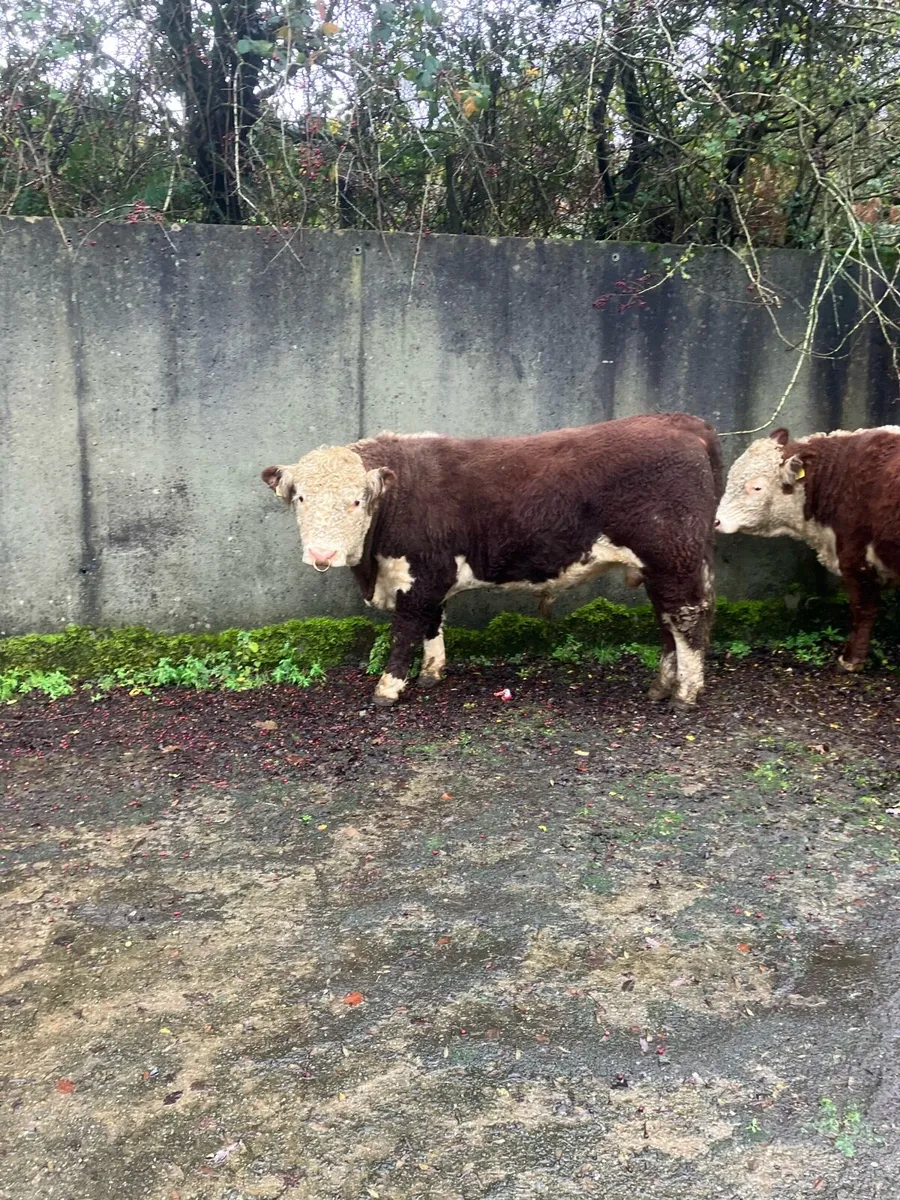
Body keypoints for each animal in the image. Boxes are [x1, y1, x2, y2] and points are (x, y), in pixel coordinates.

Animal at [262, 413, 723, 707]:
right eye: (301, 498)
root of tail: (683, 423)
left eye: (357, 500)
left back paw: (685, 695)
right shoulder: (435, 575)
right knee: (667, 622)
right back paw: (661, 687)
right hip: (664, 567)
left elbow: (405, 631)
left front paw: (387, 690)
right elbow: (433, 623)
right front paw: (432, 673)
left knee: (686, 618)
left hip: (673, 559)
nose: (322, 553)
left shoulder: (419, 576)